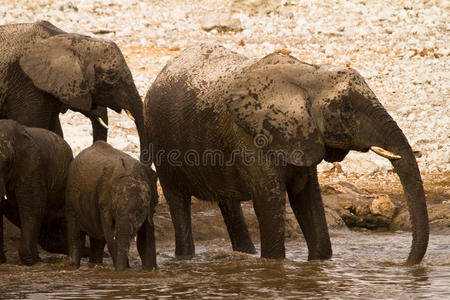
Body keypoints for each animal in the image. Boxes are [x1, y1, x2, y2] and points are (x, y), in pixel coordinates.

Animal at [65, 141, 158, 272]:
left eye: (139, 213)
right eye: (114, 210)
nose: (121, 271)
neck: (129, 174)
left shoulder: (149, 206)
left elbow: (146, 240)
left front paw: (150, 270)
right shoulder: (104, 203)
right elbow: (111, 238)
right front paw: (124, 271)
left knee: (98, 241)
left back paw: (95, 265)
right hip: (71, 199)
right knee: (76, 236)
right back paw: (74, 266)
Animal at [143, 43, 428, 264]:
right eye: (345, 110)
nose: (405, 264)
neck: (308, 73)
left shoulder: (301, 134)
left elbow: (306, 195)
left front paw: (319, 262)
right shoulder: (250, 136)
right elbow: (269, 199)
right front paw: (273, 265)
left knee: (228, 202)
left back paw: (243, 256)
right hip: (160, 142)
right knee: (178, 199)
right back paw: (186, 259)